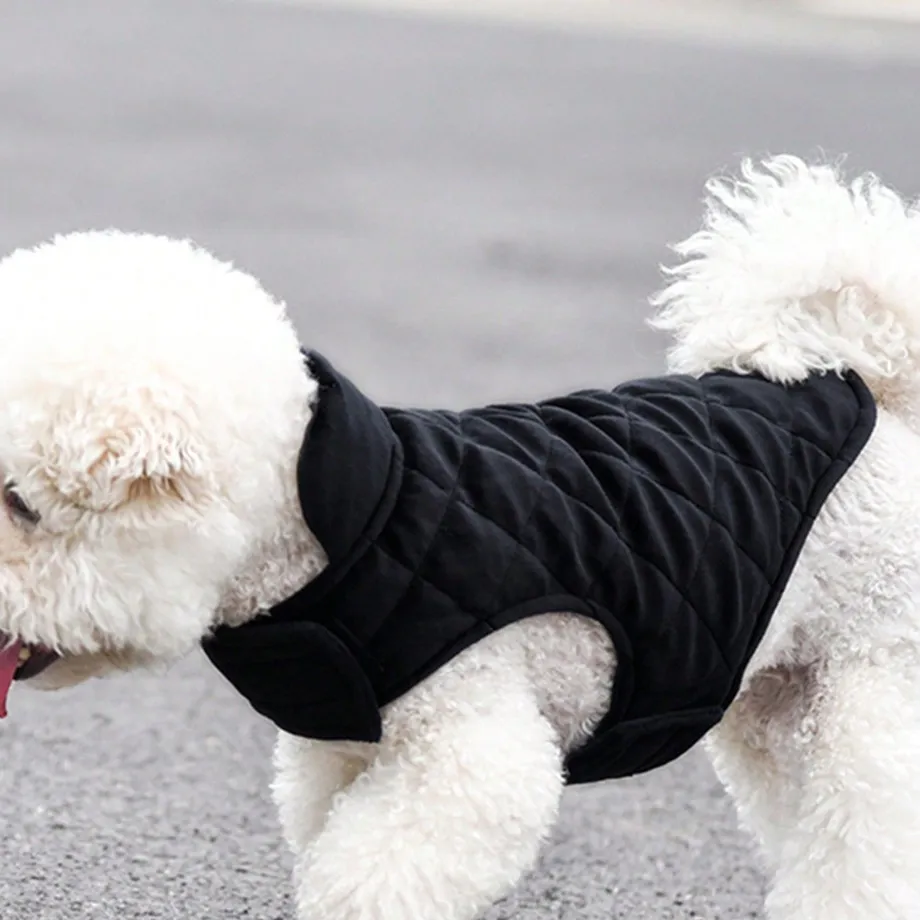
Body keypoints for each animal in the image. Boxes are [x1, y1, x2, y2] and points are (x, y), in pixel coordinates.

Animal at [1, 153, 920, 920]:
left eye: (18, 504)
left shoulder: (469, 745)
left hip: (872, 676)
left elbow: (372, 876)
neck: (330, 529)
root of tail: (867, 388)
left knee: (866, 823)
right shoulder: (344, 748)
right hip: (775, 696)